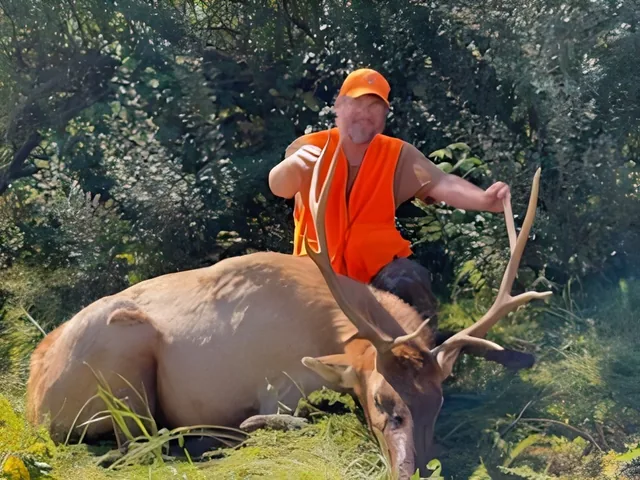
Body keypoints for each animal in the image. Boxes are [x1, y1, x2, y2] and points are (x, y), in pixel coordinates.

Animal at [25, 129, 552, 479]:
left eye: (437, 402)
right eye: (382, 401)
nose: (413, 471)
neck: (327, 328)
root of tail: (32, 397)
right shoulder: (278, 387)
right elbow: (293, 419)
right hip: (122, 353)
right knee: (139, 443)